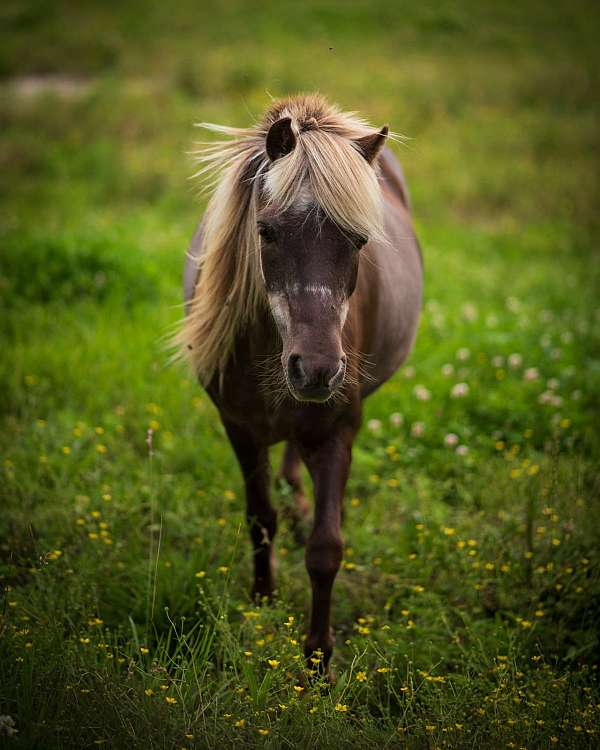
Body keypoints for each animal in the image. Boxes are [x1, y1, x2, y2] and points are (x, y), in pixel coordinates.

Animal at [178, 95, 422, 676]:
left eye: (358, 239)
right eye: (266, 231)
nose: (316, 369)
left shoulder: (336, 433)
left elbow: (325, 549)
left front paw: (317, 661)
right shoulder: (239, 429)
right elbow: (258, 518)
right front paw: (262, 599)